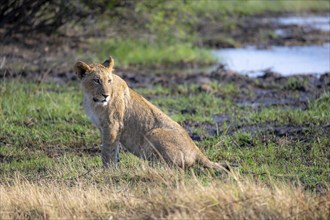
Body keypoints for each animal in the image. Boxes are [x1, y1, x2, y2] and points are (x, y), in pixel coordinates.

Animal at [75, 57, 229, 170]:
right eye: (96, 80)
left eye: (109, 81)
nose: (106, 95)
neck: (92, 100)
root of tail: (196, 150)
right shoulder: (106, 128)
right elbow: (115, 150)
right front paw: (114, 168)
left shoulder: (112, 125)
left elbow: (107, 151)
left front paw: (107, 171)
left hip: (153, 133)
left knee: (171, 167)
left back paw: (148, 168)